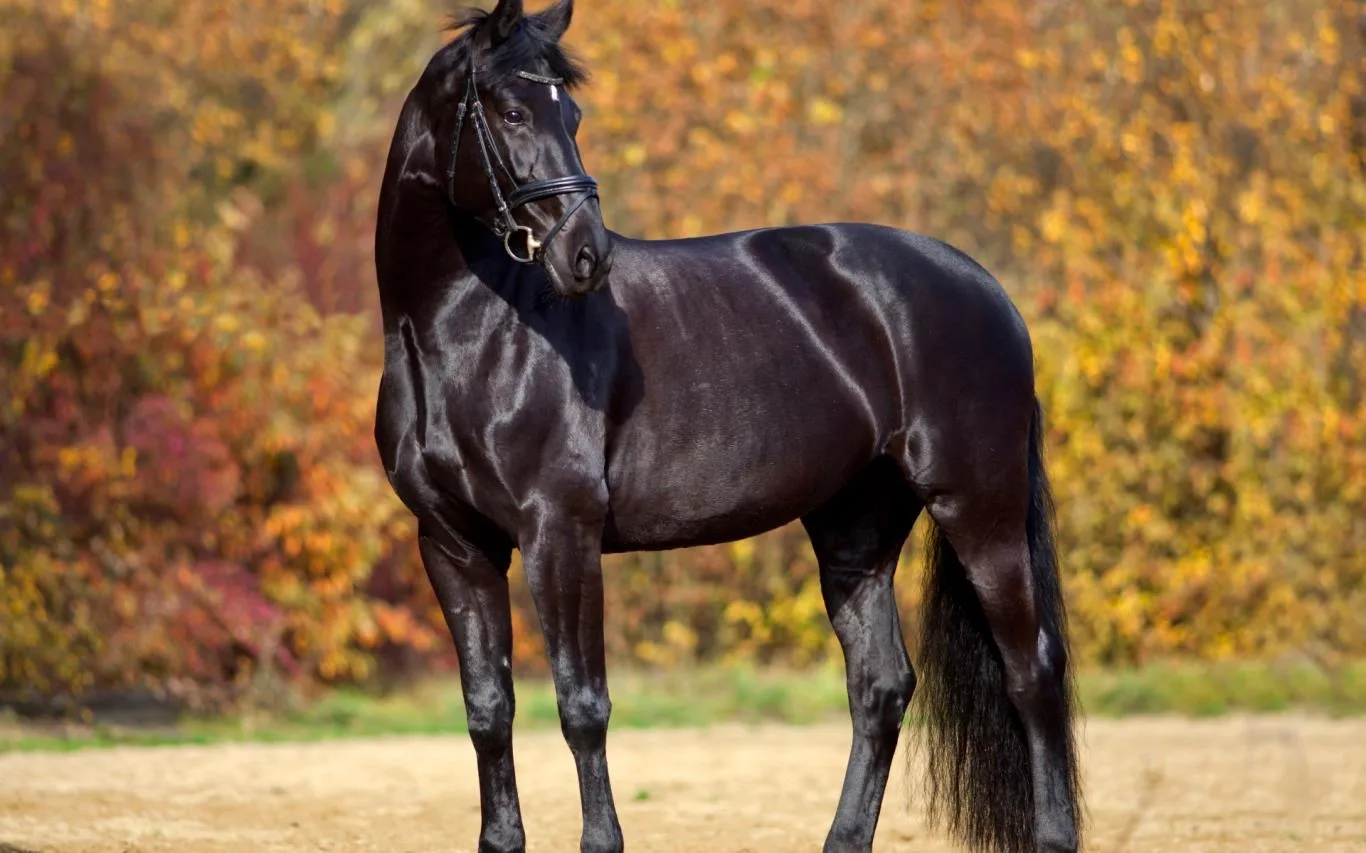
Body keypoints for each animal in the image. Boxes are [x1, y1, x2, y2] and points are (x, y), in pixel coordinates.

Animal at [372, 2, 1083, 851]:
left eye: (570, 114)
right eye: (511, 110)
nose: (587, 256)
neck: (467, 330)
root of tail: (988, 290)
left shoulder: (560, 534)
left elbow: (583, 706)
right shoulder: (454, 543)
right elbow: (488, 710)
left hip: (980, 508)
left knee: (1031, 672)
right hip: (856, 528)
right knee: (881, 685)